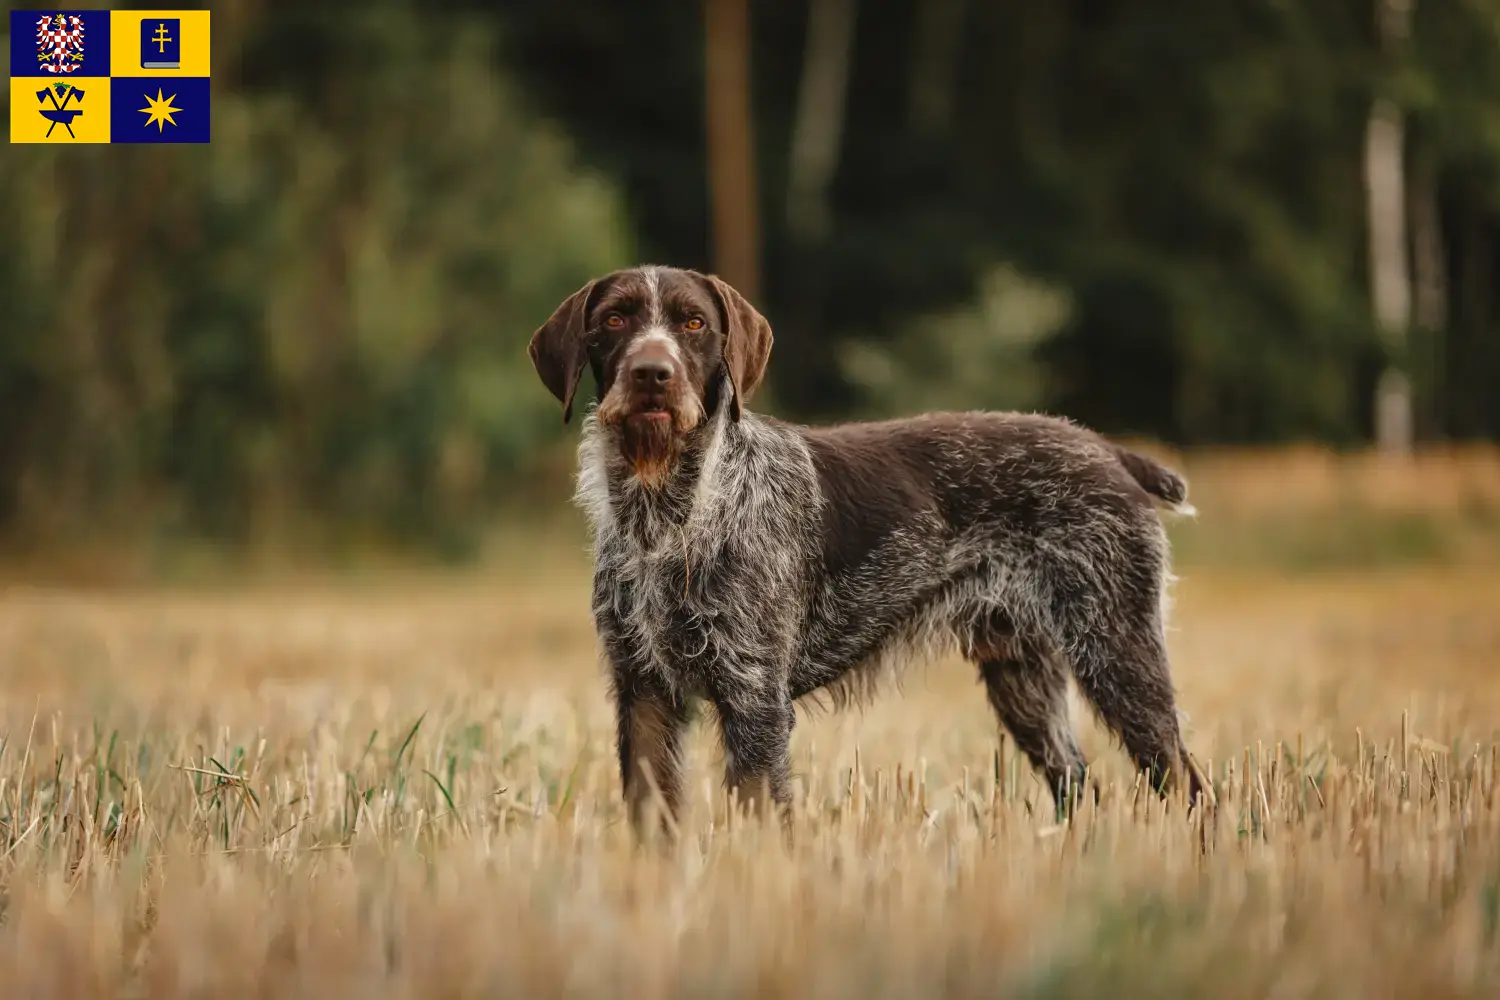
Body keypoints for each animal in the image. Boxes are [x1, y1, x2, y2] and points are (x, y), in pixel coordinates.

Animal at [528, 263, 1206, 827]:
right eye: (614, 319)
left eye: (694, 322)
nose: (652, 374)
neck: (670, 514)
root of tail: (1111, 453)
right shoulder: (644, 694)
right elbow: (651, 820)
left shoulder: (754, 698)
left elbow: (759, 817)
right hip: (1026, 677)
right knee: (1078, 784)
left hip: (1117, 650)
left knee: (1186, 781)